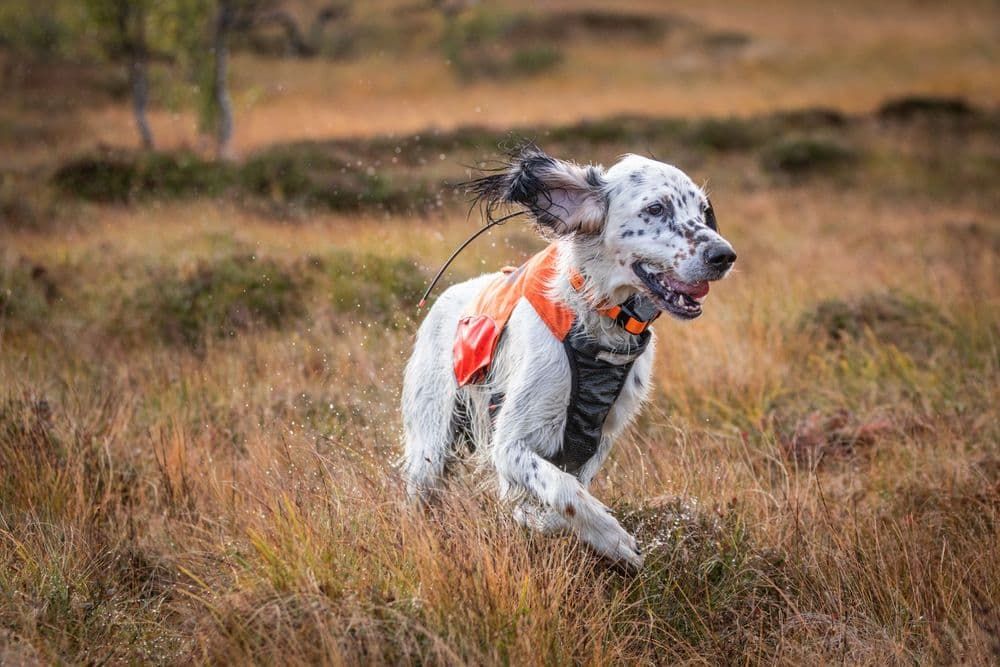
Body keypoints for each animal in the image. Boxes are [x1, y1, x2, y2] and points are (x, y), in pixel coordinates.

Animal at [401, 145, 736, 568]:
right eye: (656, 208)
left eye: (703, 210)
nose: (724, 255)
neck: (598, 323)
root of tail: (446, 299)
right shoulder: (509, 445)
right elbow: (563, 493)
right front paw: (613, 538)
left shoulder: (596, 439)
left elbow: (560, 495)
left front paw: (542, 519)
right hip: (431, 443)